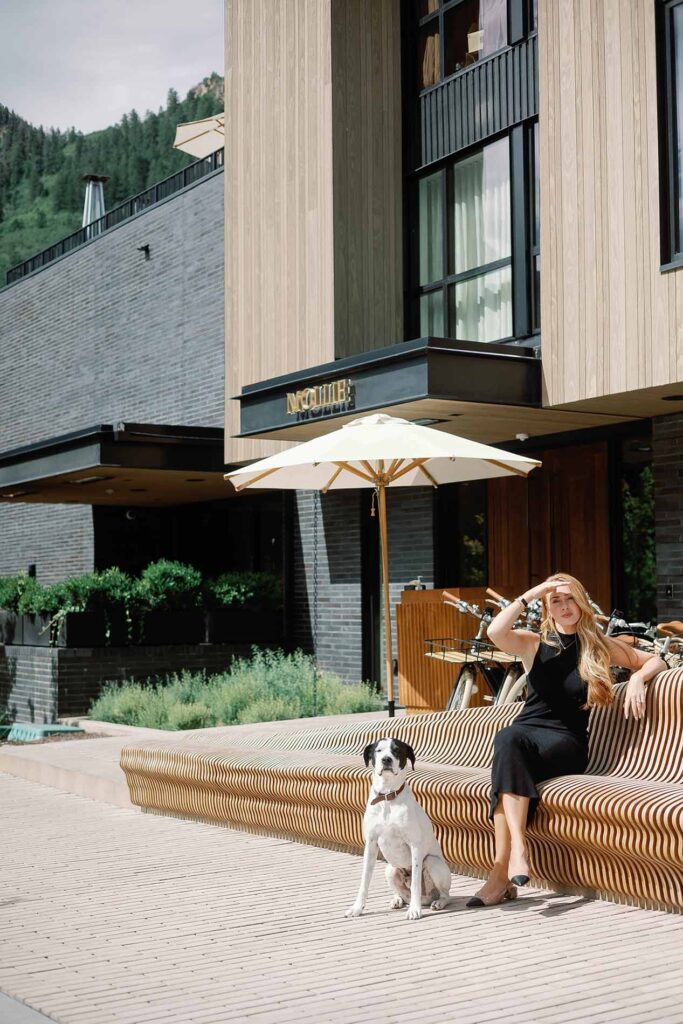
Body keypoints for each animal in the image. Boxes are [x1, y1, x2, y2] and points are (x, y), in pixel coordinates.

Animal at [344, 737, 450, 921]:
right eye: (378, 750)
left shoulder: (414, 845)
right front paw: (357, 908)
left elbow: (415, 883)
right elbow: (364, 881)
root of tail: (426, 900)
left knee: (444, 894)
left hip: (433, 863)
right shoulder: (370, 844)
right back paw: (397, 900)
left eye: (397, 751)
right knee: (403, 894)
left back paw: (437, 903)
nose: (386, 760)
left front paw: (414, 910)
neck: (387, 796)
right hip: (390, 869)